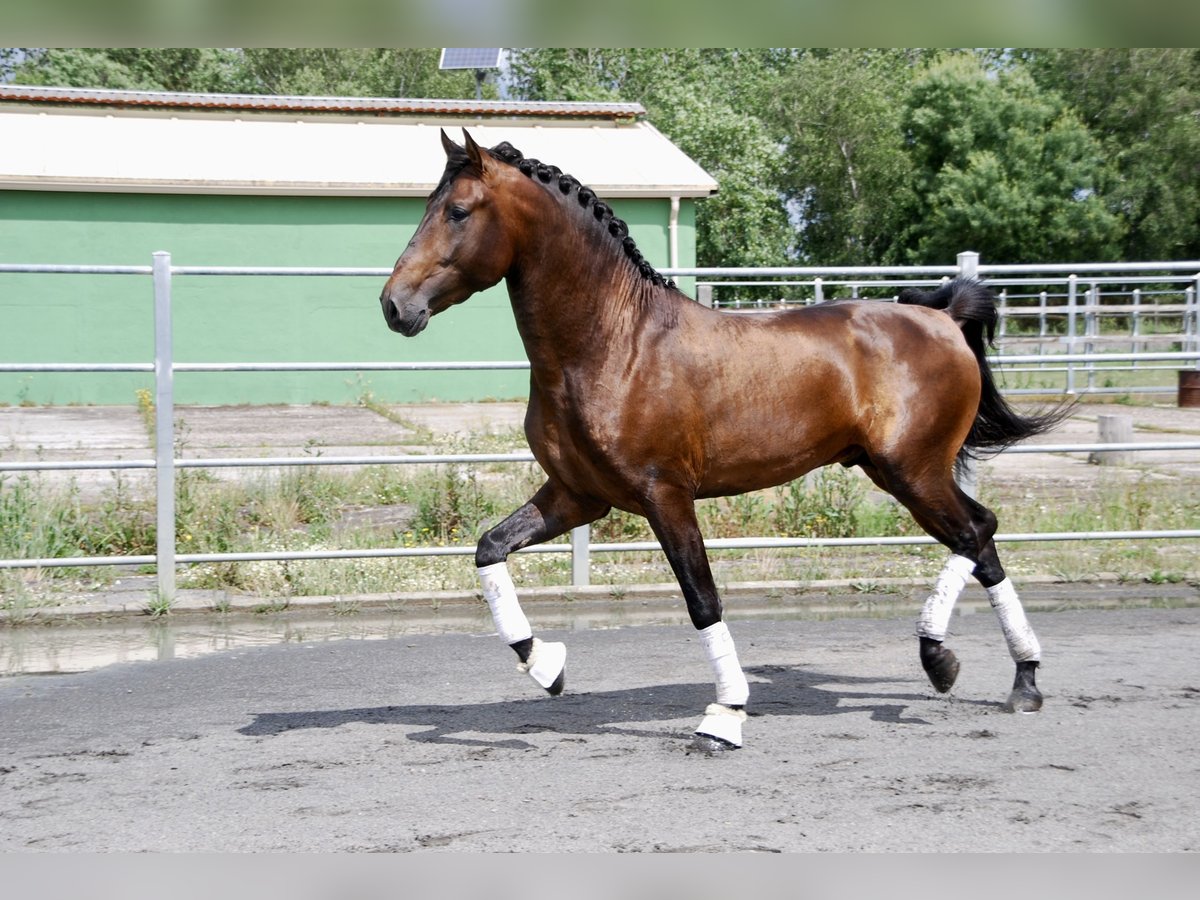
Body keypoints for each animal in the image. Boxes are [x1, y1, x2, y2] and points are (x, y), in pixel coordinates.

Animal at [379, 130, 1065, 748]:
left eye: (458, 210)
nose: (394, 306)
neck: (613, 345)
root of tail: (943, 317)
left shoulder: (665, 497)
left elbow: (702, 600)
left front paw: (725, 717)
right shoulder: (577, 496)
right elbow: (489, 548)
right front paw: (547, 667)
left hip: (912, 471)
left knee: (975, 533)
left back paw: (968, 667)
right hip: (902, 472)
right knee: (982, 535)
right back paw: (996, 676)